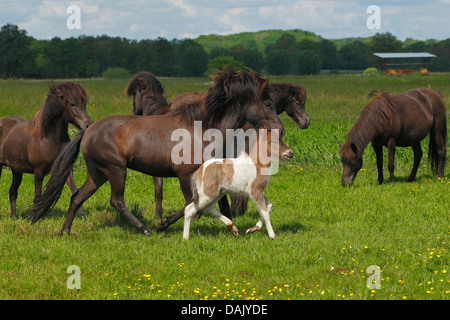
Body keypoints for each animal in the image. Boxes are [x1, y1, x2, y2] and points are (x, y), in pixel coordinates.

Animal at [0, 81, 92, 219]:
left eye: (84, 104)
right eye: (72, 104)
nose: (88, 125)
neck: (48, 139)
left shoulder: (65, 170)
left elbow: (75, 190)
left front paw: (82, 217)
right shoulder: (38, 172)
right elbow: (37, 197)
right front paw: (34, 217)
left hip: (16, 170)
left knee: (13, 191)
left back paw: (14, 217)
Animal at [29, 69, 284, 235]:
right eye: (267, 104)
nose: (280, 130)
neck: (203, 127)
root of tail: (88, 131)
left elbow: (217, 204)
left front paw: (235, 227)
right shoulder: (185, 174)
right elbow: (192, 204)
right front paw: (162, 224)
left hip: (98, 173)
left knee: (77, 197)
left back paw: (65, 231)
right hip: (116, 170)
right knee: (116, 200)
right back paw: (144, 230)